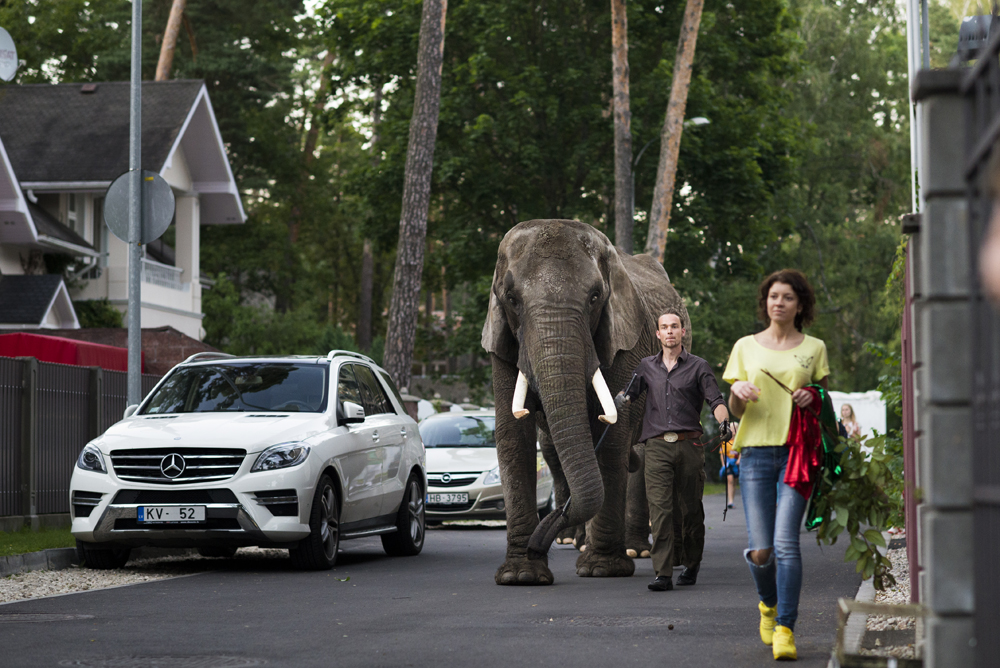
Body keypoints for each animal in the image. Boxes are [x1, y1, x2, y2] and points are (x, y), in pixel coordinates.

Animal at [482, 220, 688, 584]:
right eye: (512, 299)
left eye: (594, 298)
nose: (538, 544)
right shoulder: (502, 340)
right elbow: (512, 435)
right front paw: (521, 575)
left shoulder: (625, 340)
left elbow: (614, 439)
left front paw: (601, 569)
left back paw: (644, 553)